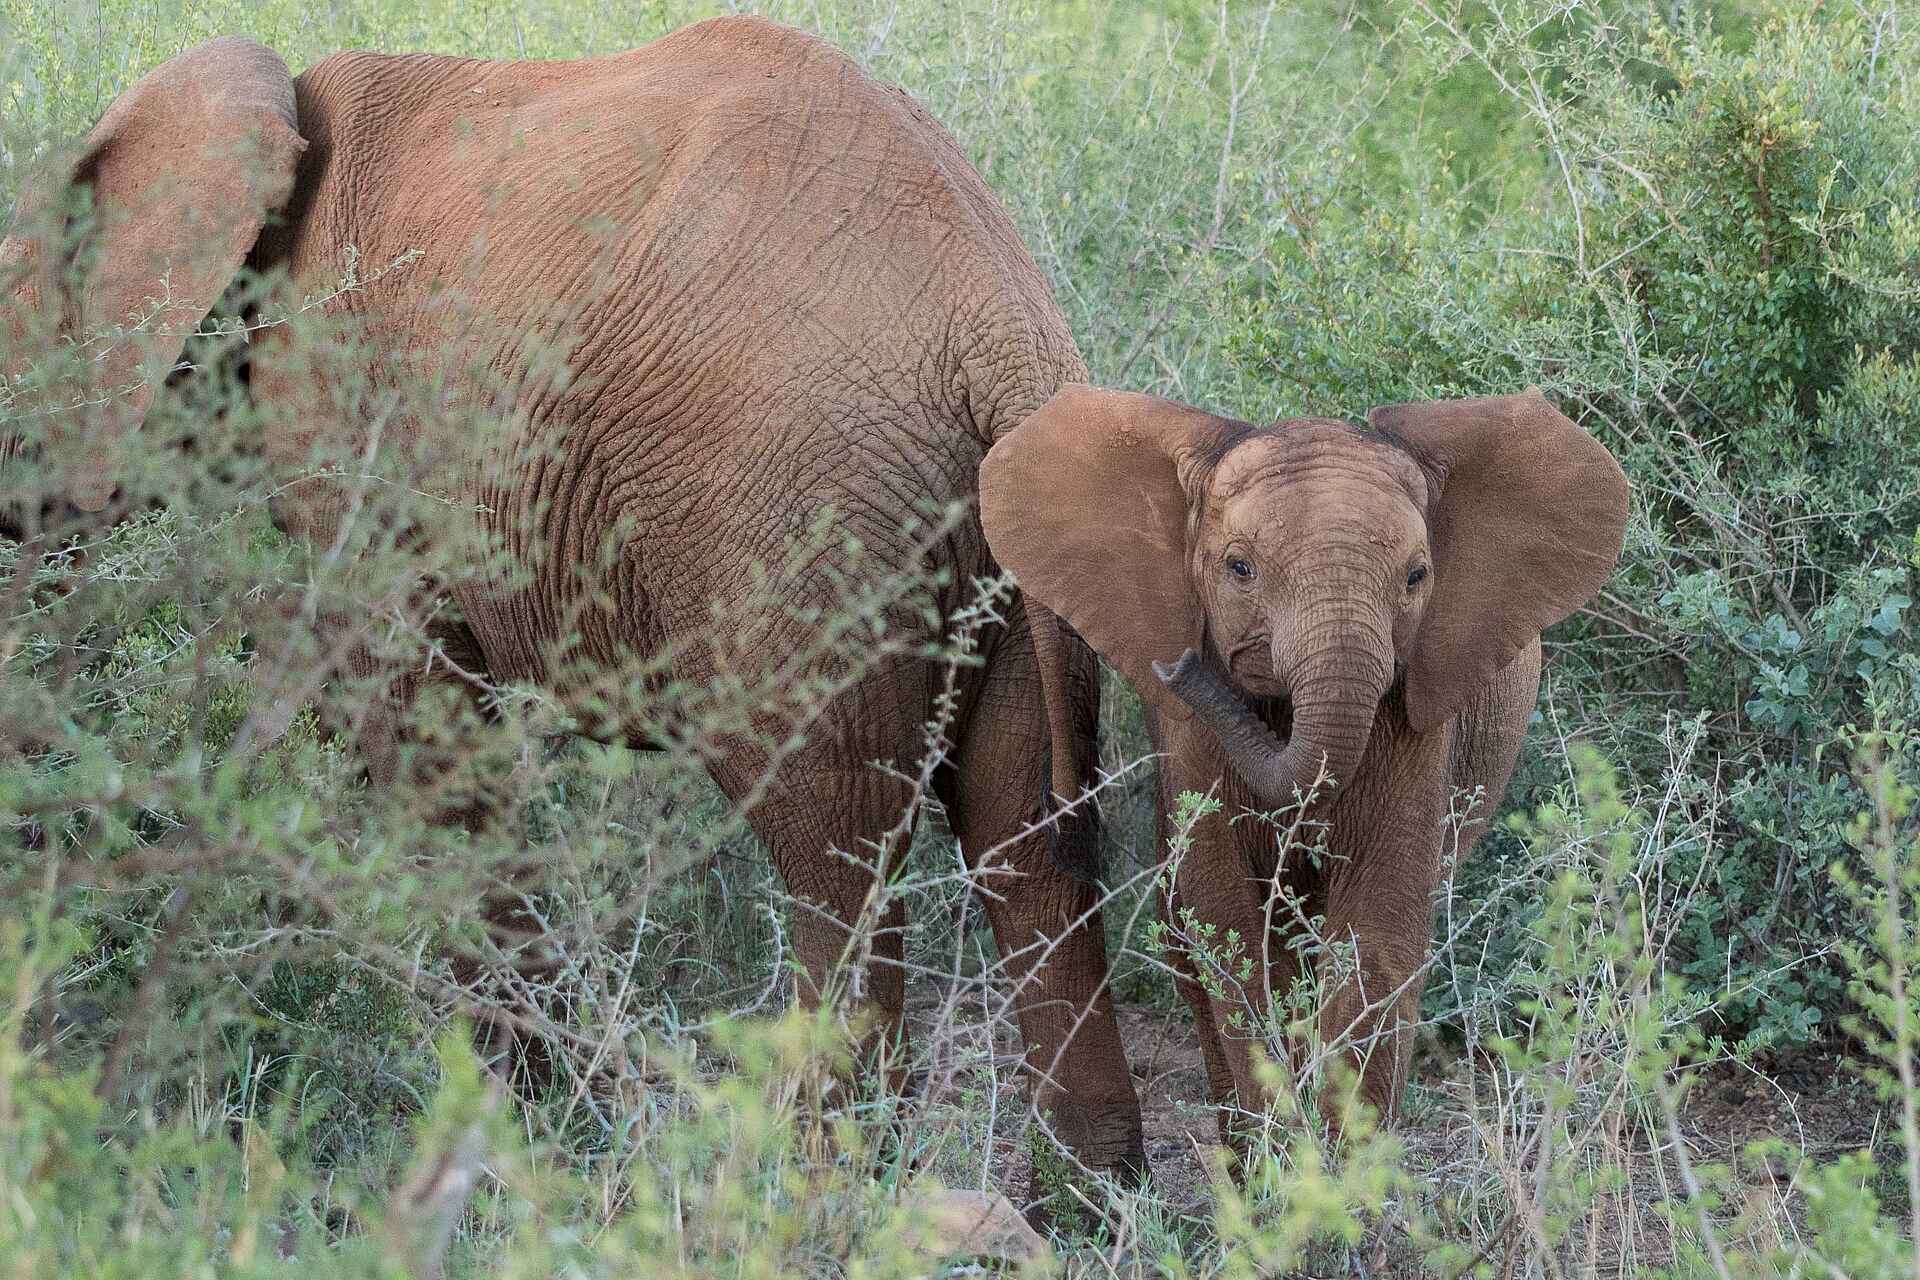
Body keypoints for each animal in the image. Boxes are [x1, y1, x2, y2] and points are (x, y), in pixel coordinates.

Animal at [0, 18, 1146, 1182]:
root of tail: (998, 342)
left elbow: (416, 722)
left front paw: (513, 1123)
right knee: (1022, 841)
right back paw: (1088, 1194)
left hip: (802, 513)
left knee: (835, 840)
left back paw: (821, 1184)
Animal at [980, 384, 1628, 1141]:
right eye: (1239, 568)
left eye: (1417, 576)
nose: (1179, 667)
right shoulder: (1189, 737)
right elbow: (1230, 929)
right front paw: (1282, 1158)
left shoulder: (1413, 706)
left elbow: (1377, 936)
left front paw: (1340, 1166)